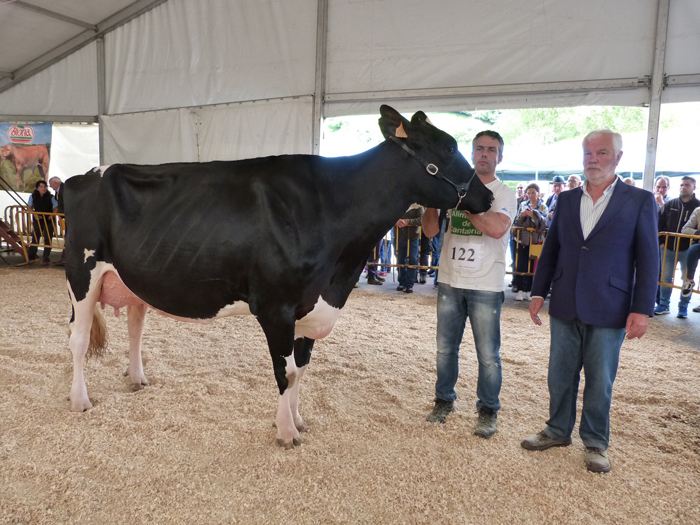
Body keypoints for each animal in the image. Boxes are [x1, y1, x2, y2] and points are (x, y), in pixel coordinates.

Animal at [64, 105, 492, 446]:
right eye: (449, 147)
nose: (487, 196)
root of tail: (82, 176)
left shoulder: (310, 307)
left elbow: (300, 370)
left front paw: (297, 420)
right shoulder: (276, 308)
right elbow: (284, 371)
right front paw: (286, 433)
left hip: (131, 279)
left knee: (135, 325)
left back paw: (137, 379)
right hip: (80, 272)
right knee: (78, 340)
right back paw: (80, 400)